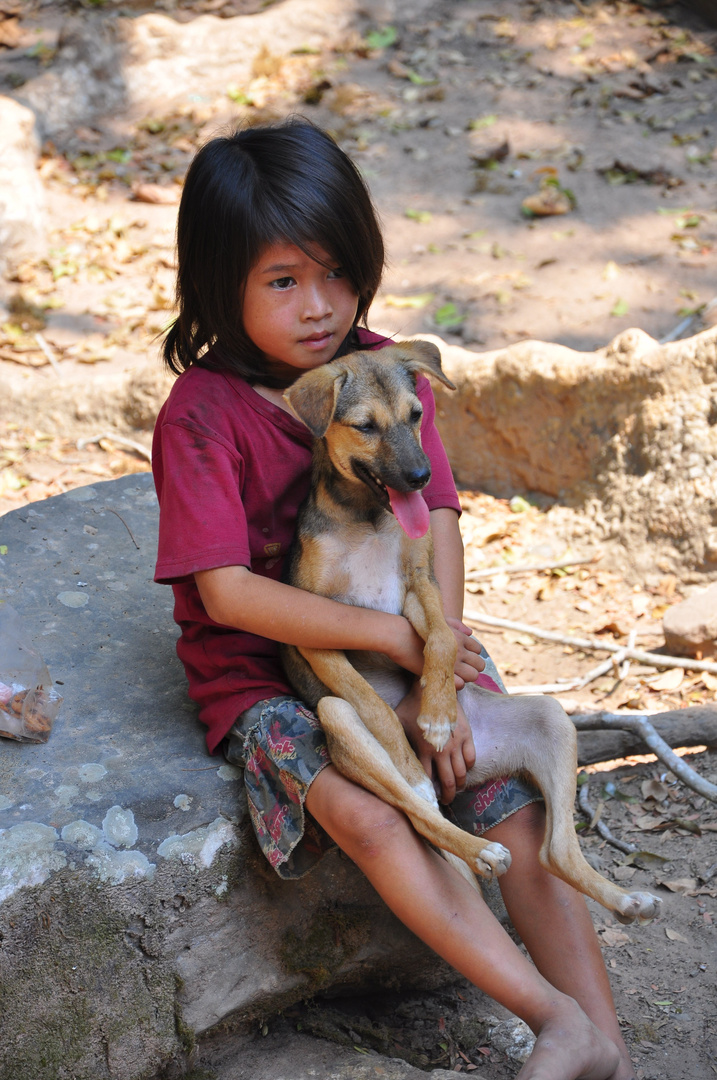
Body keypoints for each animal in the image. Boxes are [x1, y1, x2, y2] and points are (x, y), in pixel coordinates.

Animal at [280, 341, 660, 924]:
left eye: (417, 415)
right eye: (365, 426)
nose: (422, 476)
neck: (367, 518)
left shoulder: (420, 587)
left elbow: (439, 639)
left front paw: (438, 717)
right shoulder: (314, 629)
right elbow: (375, 705)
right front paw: (413, 746)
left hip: (550, 718)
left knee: (554, 852)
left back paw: (628, 900)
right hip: (335, 718)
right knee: (418, 811)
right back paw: (474, 841)